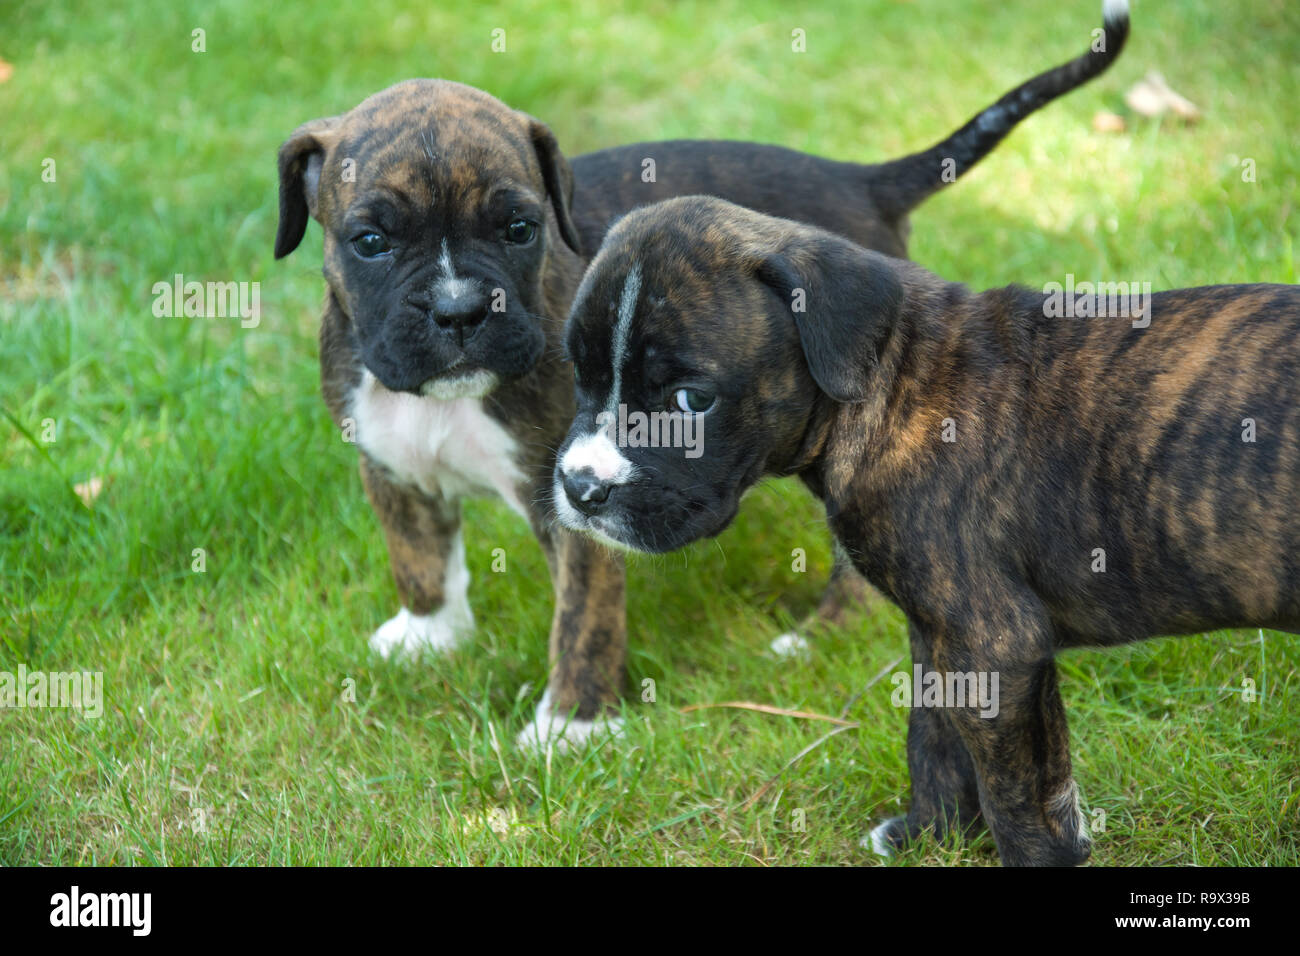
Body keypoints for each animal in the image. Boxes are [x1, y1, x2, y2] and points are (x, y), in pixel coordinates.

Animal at [271, 1, 1128, 749]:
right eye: (370, 241)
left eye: (519, 229)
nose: (458, 309)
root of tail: (860, 180)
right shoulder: (388, 459)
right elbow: (418, 554)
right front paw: (430, 635)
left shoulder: (572, 500)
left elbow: (581, 617)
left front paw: (571, 725)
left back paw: (823, 634)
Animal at [559, 196, 1300, 868]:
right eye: (578, 374)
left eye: (693, 401)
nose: (578, 488)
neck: (891, 385)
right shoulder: (940, 632)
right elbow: (934, 740)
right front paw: (931, 837)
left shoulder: (995, 642)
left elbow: (1017, 795)